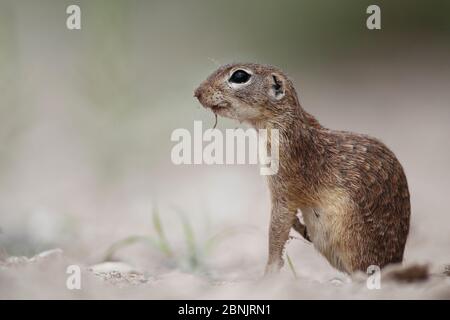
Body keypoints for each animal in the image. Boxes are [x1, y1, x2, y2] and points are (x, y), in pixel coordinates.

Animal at [194, 63, 412, 276]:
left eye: (239, 76)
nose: (197, 92)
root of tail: (396, 263)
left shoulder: (284, 187)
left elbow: (277, 228)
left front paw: (269, 272)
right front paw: (298, 228)